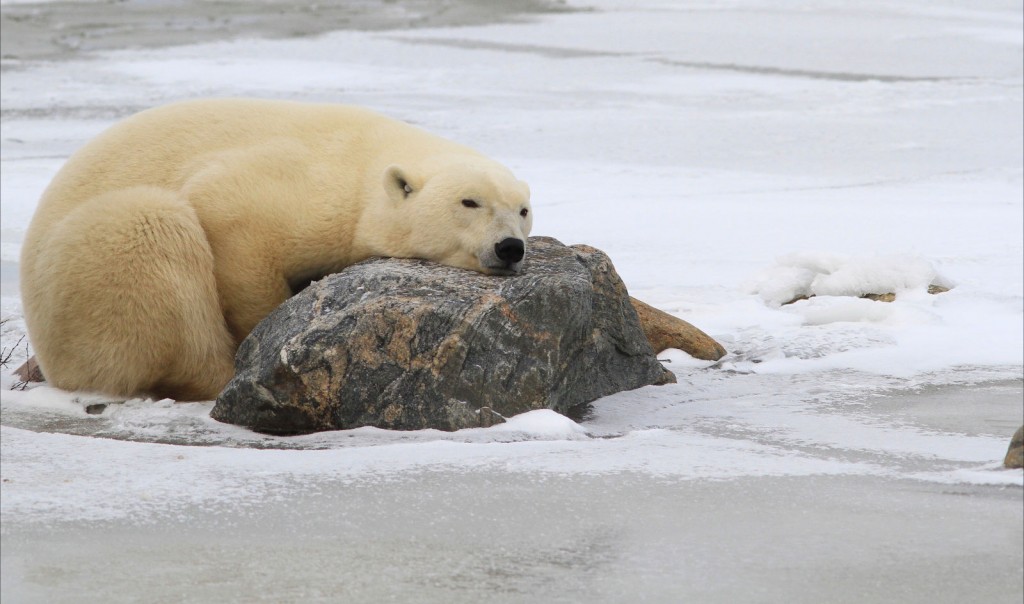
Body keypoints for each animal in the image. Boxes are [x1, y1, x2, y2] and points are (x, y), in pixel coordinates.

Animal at [19, 98, 532, 403]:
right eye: (470, 201)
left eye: (523, 209)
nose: (510, 247)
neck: (364, 165)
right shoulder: (296, 186)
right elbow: (228, 216)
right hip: (85, 281)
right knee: (153, 229)